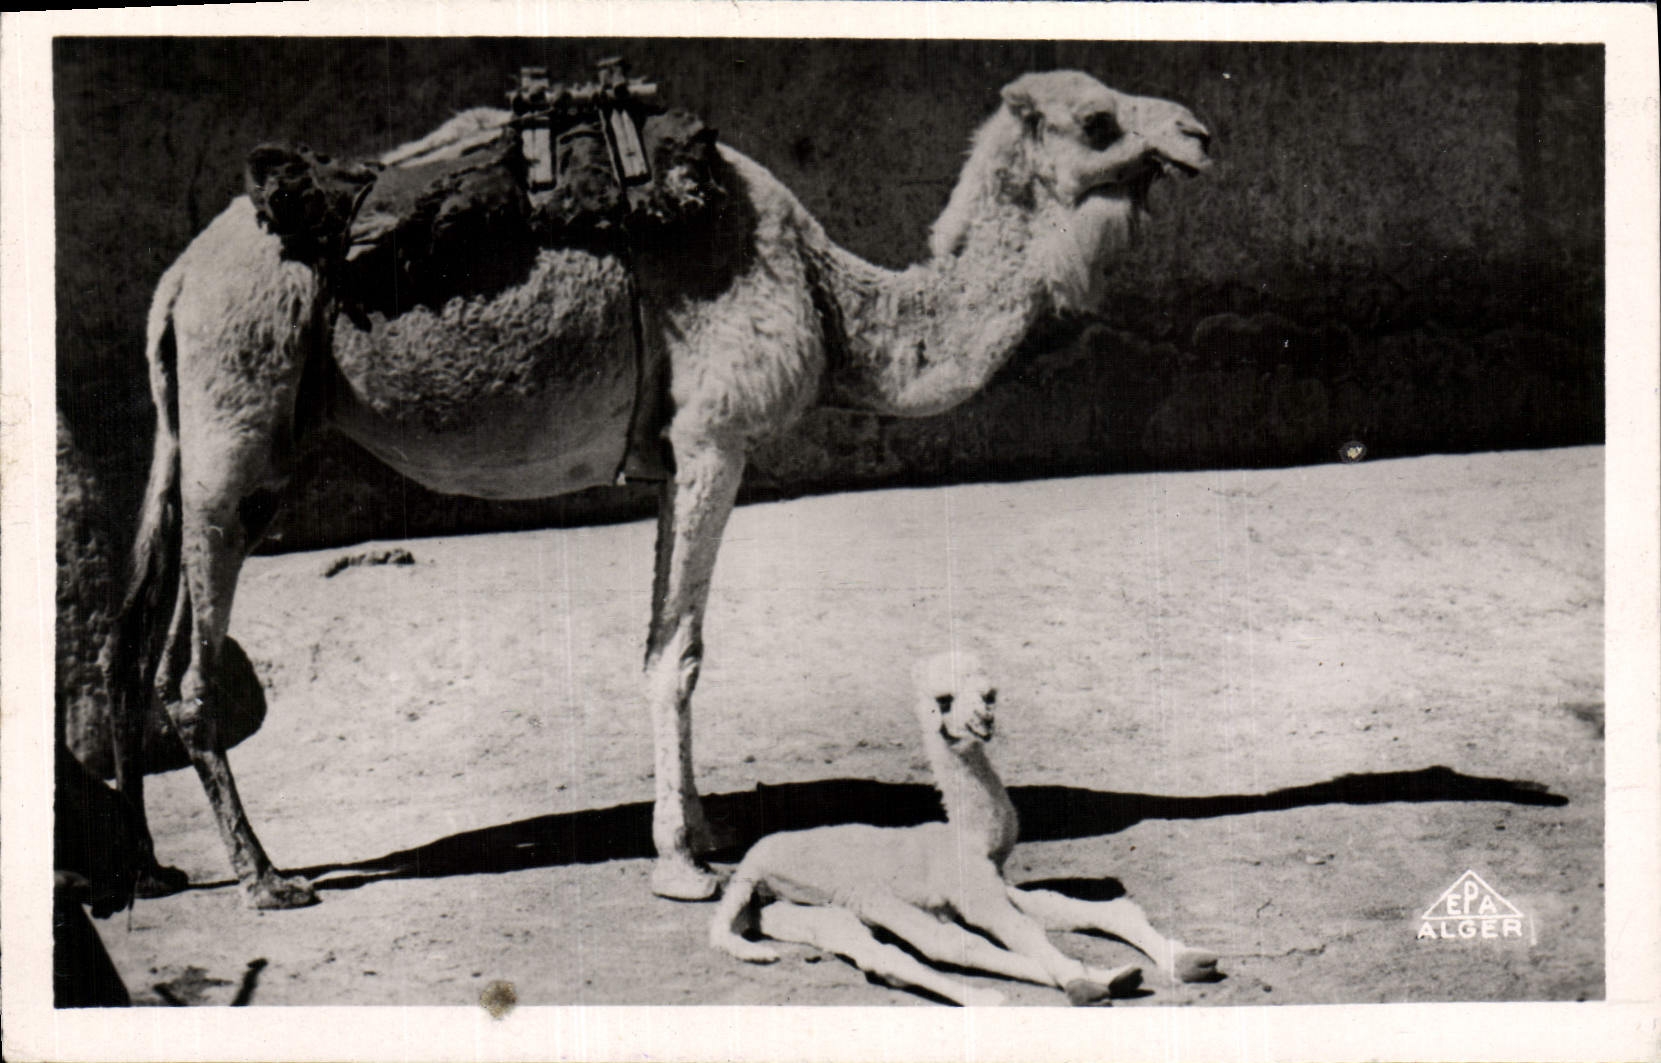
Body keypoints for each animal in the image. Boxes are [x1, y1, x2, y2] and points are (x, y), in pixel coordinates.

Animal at [112, 70, 1212, 909]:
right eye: (1098, 121)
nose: (1197, 133)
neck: (829, 300)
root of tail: (176, 279)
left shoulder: (669, 459)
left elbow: (658, 641)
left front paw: (700, 824)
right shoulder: (714, 438)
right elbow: (676, 655)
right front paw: (682, 861)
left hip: (226, 438)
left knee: (136, 643)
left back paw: (149, 868)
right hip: (238, 404)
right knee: (192, 673)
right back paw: (264, 880)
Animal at [709, 651, 1217, 1005]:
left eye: (990, 695)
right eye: (944, 700)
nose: (983, 722)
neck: (969, 839)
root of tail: (749, 866)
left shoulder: (992, 883)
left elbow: (1093, 910)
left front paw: (1188, 960)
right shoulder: (972, 891)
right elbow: (1022, 933)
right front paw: (1081, 981)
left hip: (790, 912)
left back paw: (1117, 976)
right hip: (849, 897)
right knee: (924, 948)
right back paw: (1009, 995)